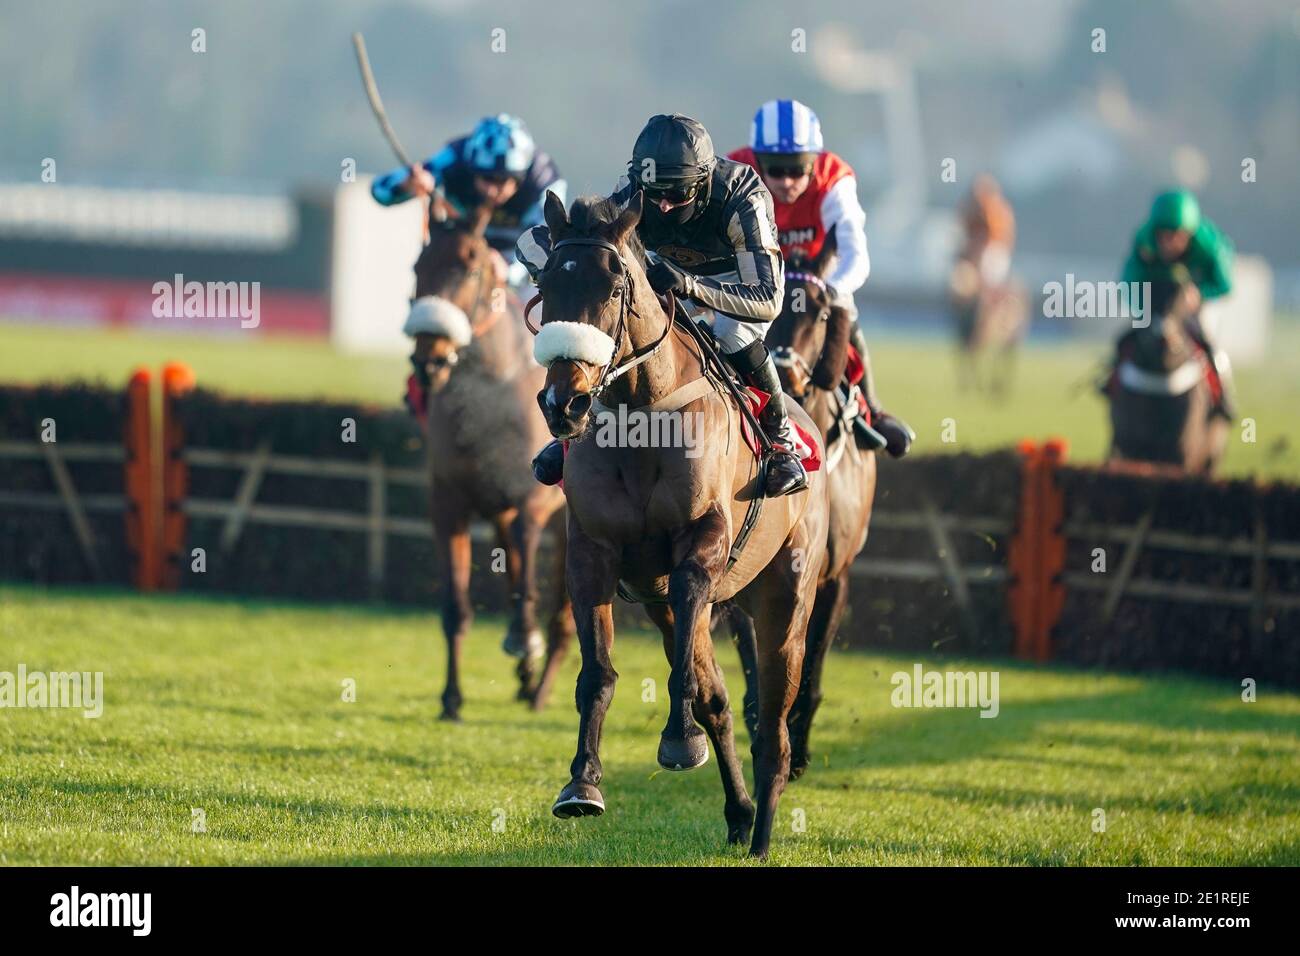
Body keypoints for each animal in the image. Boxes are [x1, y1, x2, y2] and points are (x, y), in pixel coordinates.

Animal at [403, 208, 572, 717]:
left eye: (470, 268)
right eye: (418, 267)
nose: (430, 360)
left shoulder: (534, 499)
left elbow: (528, 573)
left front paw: (522, 637)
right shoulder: (448, 503)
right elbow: (456, 605)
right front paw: (451, 698)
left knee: (564, 615)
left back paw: (540, 687)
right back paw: (527, 678)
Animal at [530, 191, 826, 858]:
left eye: (614, 286)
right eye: (545, 284)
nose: (564, 404)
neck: (642, 412)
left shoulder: (702, 544)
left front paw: (676, 740)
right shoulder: (592, 553)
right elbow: (598, 674)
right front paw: (582, 784)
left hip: (785, 601)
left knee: (773, 728)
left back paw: (762, 834)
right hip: (664, 603)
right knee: (719, 700)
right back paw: (739, 813)